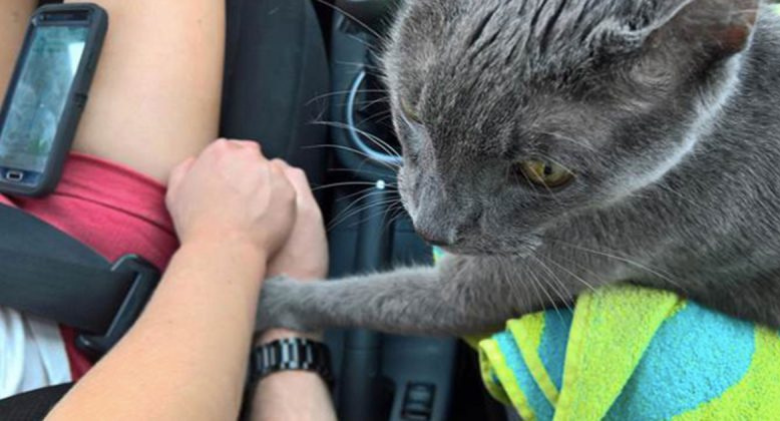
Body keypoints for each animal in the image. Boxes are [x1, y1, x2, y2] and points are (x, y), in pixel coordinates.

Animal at [258, 0, 780, 336]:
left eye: (545, 171)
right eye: (411, 110)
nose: (431, 228)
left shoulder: (622, 238)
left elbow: (381, 299)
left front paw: (266, 298)